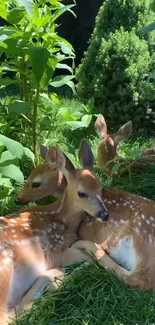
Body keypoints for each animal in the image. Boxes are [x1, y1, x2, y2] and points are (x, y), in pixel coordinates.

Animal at [0, 140, 109, 324]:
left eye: (100, 187)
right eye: (81, 193)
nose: (104, 214)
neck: (60, 218)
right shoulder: (56, 251)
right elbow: (92, 253)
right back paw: (55, 277)